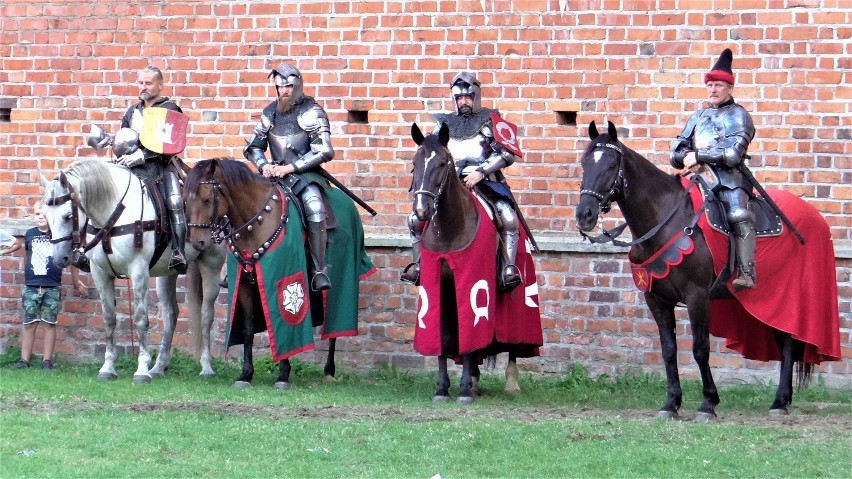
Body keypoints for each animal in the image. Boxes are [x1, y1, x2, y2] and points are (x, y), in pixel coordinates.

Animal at [40, 160, 226, 382]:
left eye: (68, 216)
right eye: (45, 216)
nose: (61, 258)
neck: (113, 211)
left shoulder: (138, 271)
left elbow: (140, 318)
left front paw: (142, 369)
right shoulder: (100, 273)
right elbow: (109, 318)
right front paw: (108, 367)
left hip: (211, 266)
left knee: (206, 314)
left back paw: (206, 367)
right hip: (167, 274)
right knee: (170, 315)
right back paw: (159, 366)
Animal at [185, 158, 374, 390]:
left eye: (207, 199)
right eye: (186, 201)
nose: (198, 242)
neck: (254, 220)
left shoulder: (282, 277)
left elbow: (284, 325)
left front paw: (283, 374)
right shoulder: (244, 284)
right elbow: (248, 329)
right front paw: (245, 374)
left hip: (340, 279)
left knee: (334, 326)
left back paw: (329, 371)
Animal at [572, 122, 840, 422]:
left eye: (610, 165)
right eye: (584, 164)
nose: (584, 215)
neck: (665, 222)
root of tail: (817, 218)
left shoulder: (697, 296)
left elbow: (700, 349)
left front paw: (708, 404)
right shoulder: (657, 300)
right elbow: (668, 350)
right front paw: (671, 403)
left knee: (789, 343)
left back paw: (779, 402)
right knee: (785, 342)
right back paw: (783, 400)